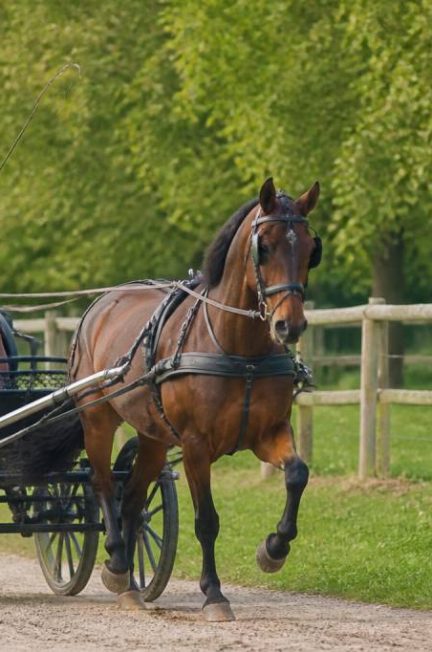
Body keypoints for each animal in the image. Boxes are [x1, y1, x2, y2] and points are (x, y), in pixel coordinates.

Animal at [31, 177, 321, 621]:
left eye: (309, 248)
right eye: (266, 246)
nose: (290, 325)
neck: (240, 351)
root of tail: (100, 304)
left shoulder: (269, 433)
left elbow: (296, 475)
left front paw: (273, 549)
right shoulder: (196, 445)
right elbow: (207, 520)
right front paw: (214, 594)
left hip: (153, 437)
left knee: (132, 500)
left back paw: (129, 583)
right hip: (98, 419)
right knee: (102, 484)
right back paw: (117, 564)